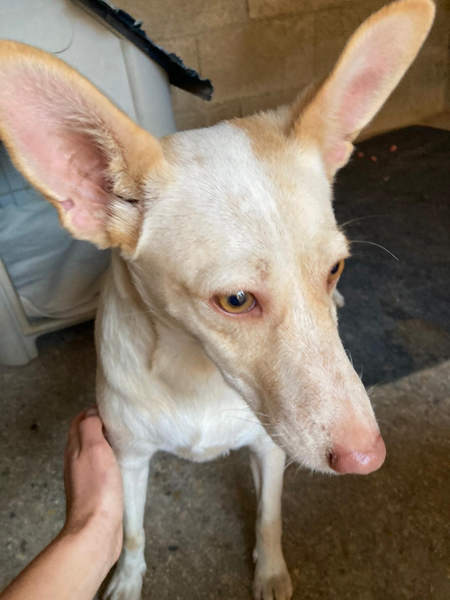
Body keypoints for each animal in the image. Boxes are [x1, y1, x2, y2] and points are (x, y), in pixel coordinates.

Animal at [0, 1, 434, 598]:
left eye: (335, 267)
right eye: (234, 300)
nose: (367, 458)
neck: (194, 376)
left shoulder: (269, 447)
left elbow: (269, 516)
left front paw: (269, 572)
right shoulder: (126, 456)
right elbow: (131, 531)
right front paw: (127, 579)